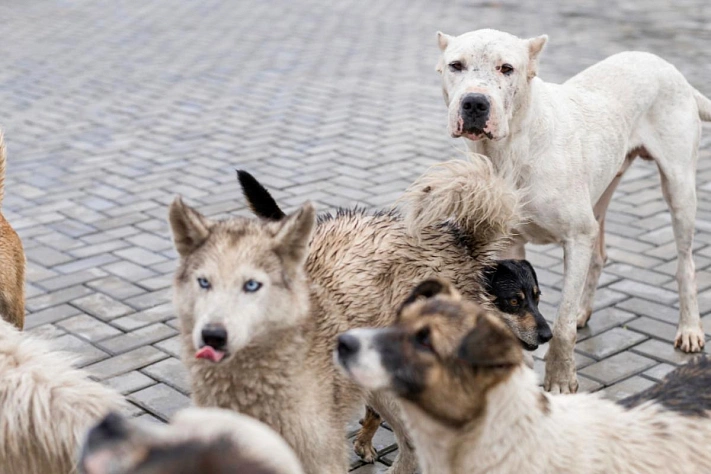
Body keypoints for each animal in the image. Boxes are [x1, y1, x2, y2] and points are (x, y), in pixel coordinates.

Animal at [434, 29, 711, 392]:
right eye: (456, 65)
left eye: (506, 68)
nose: (475, 103)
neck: (510, 151)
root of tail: (673, 71)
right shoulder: (510, 244)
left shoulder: (577, 236)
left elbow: (562, 324)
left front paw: (561, 378)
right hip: (602, 192)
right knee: (599, 255)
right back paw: (584, 309)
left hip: (679, 188)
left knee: (685, 263)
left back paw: (690, 328)